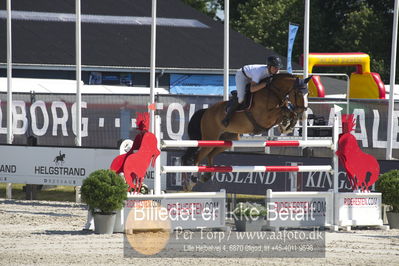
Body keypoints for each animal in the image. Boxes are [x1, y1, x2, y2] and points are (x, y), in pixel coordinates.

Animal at [182, 74, 312, 188]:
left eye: (308, 93)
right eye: (299, 93)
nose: (303, 112)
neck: (274, 92)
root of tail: (206, 111)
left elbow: (288, 112)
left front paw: (286, 126)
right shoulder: (265, 117)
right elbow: (284, 111)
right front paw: (286, 125)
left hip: (227, 140)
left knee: (210, 155)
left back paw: (206, 175)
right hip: (210, 138)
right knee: (198, 156)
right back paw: (192, 181)